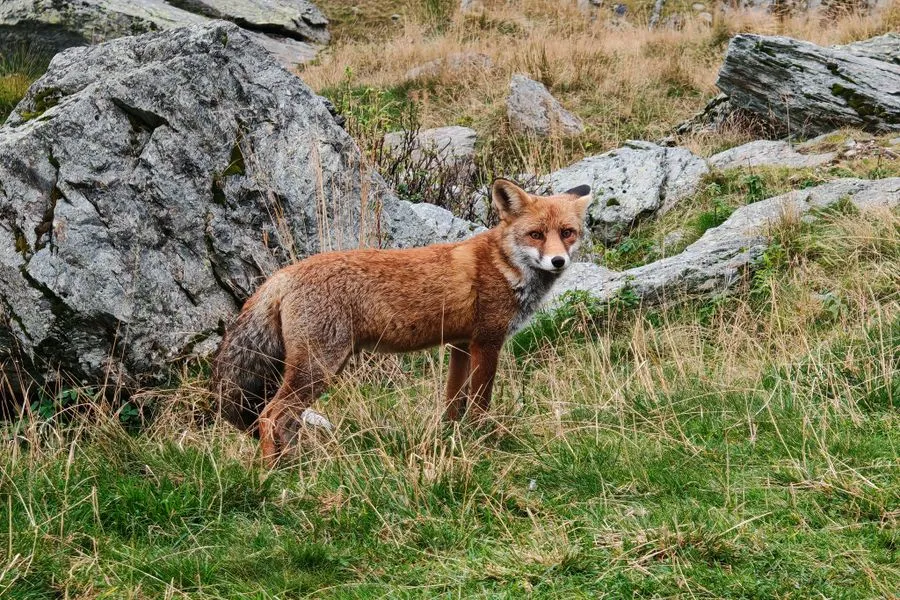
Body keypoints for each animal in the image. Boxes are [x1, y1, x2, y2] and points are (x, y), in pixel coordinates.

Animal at [212, 178, 592, 463]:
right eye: (536, 235)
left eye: (567, 232)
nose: (558, 261)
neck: (503, 265)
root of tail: (283, 274)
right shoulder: (487, 342)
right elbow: (480, 404)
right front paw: (482, 440)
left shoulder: (460, 344)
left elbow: (452, 403)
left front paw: (451, 438)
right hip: (319, 368)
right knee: (270, 415)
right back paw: (272, 472)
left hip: (324, 368)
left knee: (285, 421)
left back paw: (296, 466)